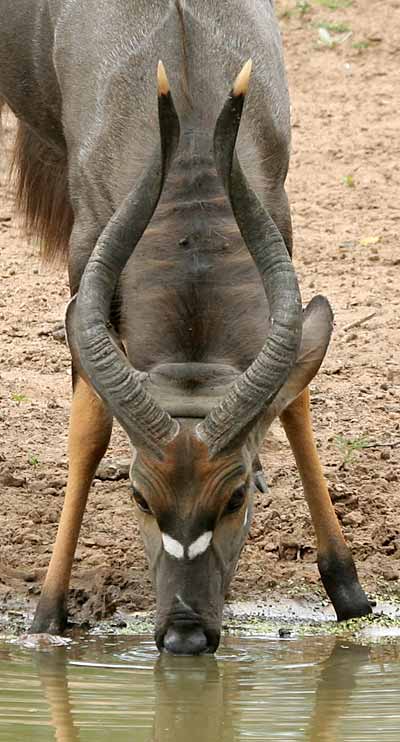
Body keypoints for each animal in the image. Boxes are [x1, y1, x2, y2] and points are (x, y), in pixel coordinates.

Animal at [0, 0, 372, 652]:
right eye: (139, 496)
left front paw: (348, 591)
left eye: (235, 496)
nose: (185, 635)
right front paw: (47, 613)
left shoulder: (280, 217)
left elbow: (296, 398)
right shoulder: (84, 250)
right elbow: (89, 429)